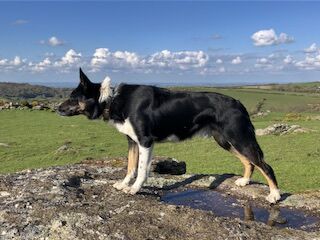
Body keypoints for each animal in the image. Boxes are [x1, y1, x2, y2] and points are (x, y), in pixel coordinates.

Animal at [57, 68, 280, 203]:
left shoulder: (145, 142)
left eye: (72, 98)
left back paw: (275, 195)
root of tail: (239, 103)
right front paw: (123, 185)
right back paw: (245, 181)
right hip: (226, 140)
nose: (57, 109)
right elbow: (130, 167)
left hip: (238, 138)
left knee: (265, 165)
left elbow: (141, 170)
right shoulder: (132, 142)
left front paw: (135, 189)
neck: (111, 100)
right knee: (249, 162)